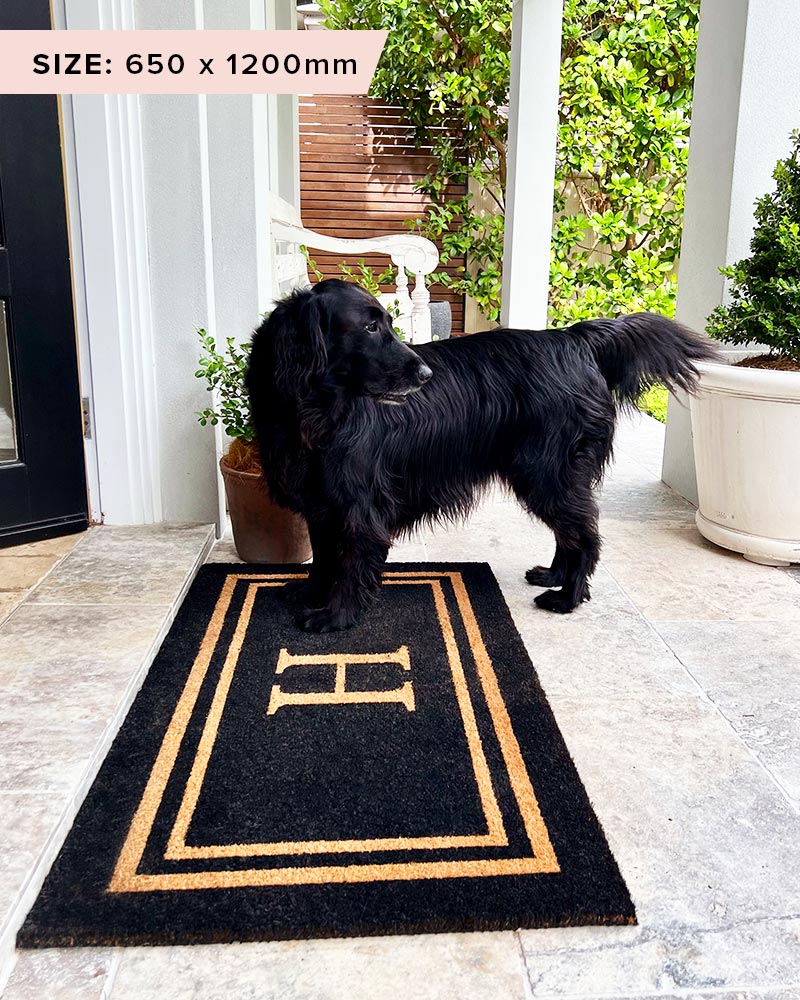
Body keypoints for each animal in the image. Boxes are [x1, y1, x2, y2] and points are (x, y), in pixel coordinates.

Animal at [247, 278, 716, 628]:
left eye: (387, 323)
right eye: (369, 328)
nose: (425, 373)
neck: (311, 408)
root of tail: (574, 338)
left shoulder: (358, 504)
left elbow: (348, 561)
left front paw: (336, 615)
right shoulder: (320, 500)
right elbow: (323, 555)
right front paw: (311, 591)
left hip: (546, 471)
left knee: (585, 533)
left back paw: (567, 597)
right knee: (570, 530)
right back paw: (554, 575)